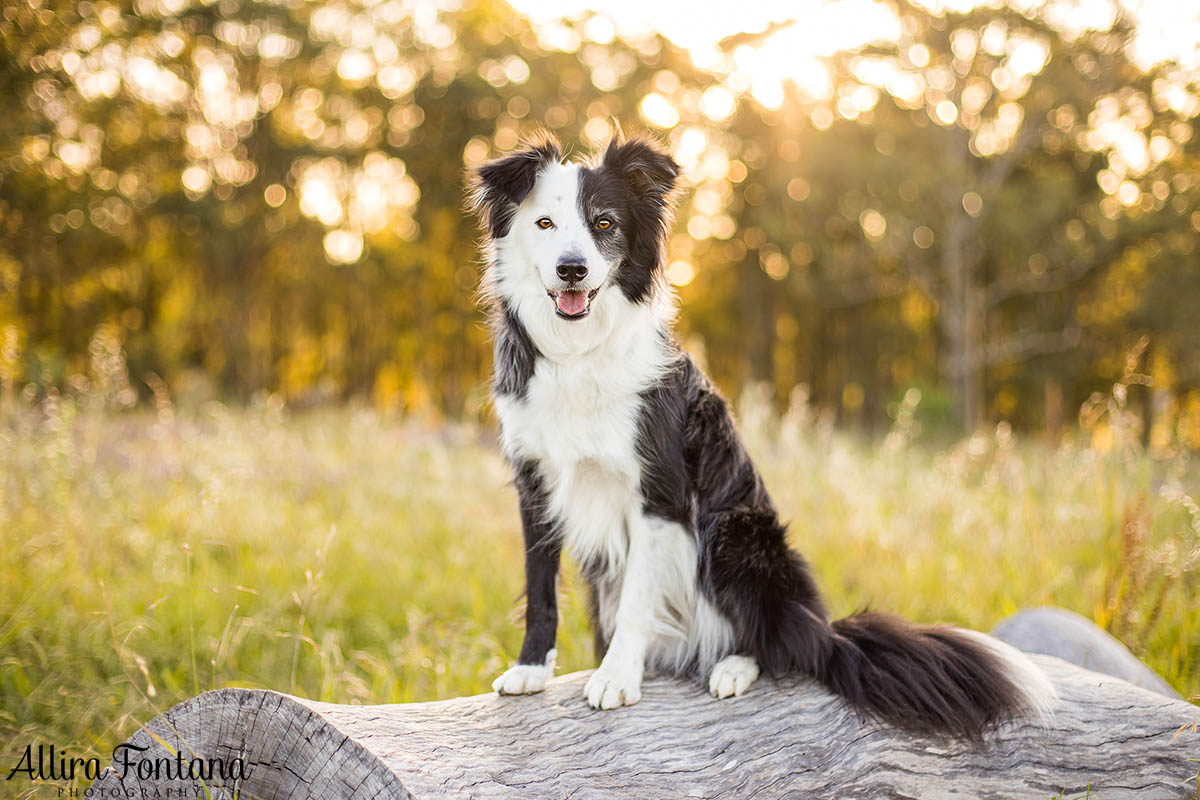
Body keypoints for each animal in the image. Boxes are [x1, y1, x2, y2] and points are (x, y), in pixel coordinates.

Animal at [463, 131, 1056, 738]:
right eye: (545, 224)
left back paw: (732, 666)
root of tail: (820, 627)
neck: (578, 352)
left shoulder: (660, 495)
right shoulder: (536, 485)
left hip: (736, 532)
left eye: (604, 223)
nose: (572, 269)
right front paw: (531, 668)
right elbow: (540, 588)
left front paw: (617, 676)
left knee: (776, 647)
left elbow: (635, 601)